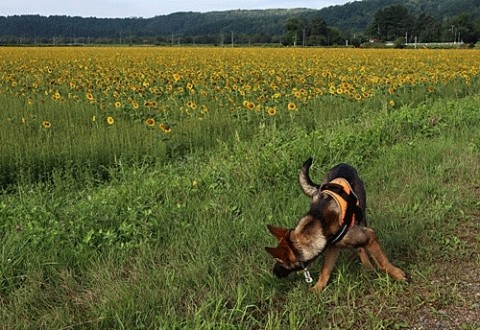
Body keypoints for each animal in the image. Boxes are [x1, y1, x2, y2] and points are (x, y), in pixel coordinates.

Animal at [264, 159, 406, 292]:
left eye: (280, 261)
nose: (274, 273)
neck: (319, 224)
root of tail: (342, 164)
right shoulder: (333, 247)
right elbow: (325, 270)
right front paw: (318, 288)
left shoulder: (369, 235)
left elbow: (382, 263)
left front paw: (397, 275)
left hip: (361, 217)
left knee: (361, 246)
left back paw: (368, 265)